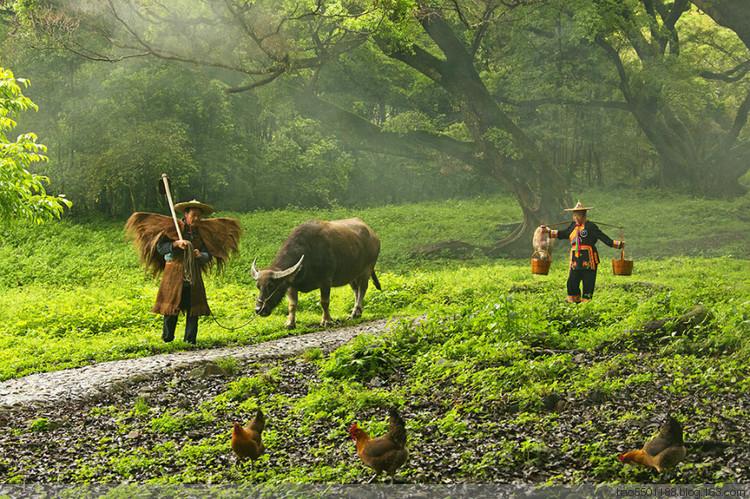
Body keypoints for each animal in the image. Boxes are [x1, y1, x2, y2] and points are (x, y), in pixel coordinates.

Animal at [251, 218, 382, 328]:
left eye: (271, 286)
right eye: (258, 286)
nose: (258, 309)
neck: (308, 254)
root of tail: (373, 235)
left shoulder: (326, 281)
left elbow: (324, 302)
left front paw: (327, 320)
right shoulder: (291, 285)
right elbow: (292, 305)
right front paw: (290, 323)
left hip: (367, 269)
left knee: (363, 289)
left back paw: (355, 312)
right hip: (352, 274)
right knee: (356, 290)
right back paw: (357, 312)